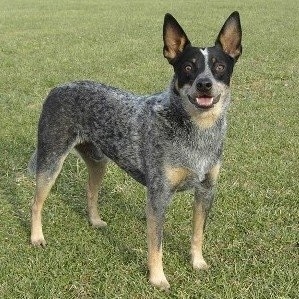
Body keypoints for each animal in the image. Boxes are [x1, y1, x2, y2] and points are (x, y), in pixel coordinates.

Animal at [29, 11, 243, 290]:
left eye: (219, 67)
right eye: (188, 67)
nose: (204, 84)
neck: (197, 132)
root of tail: (57, 88)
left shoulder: (206, 190)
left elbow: (197, 234)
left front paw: (197, 262)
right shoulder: (158, 196)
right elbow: (156, 246)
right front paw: (157, 278)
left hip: (98, 162)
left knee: (90, 193)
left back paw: (95, 221)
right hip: (51, 160)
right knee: (36, 203)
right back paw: (36, 237)